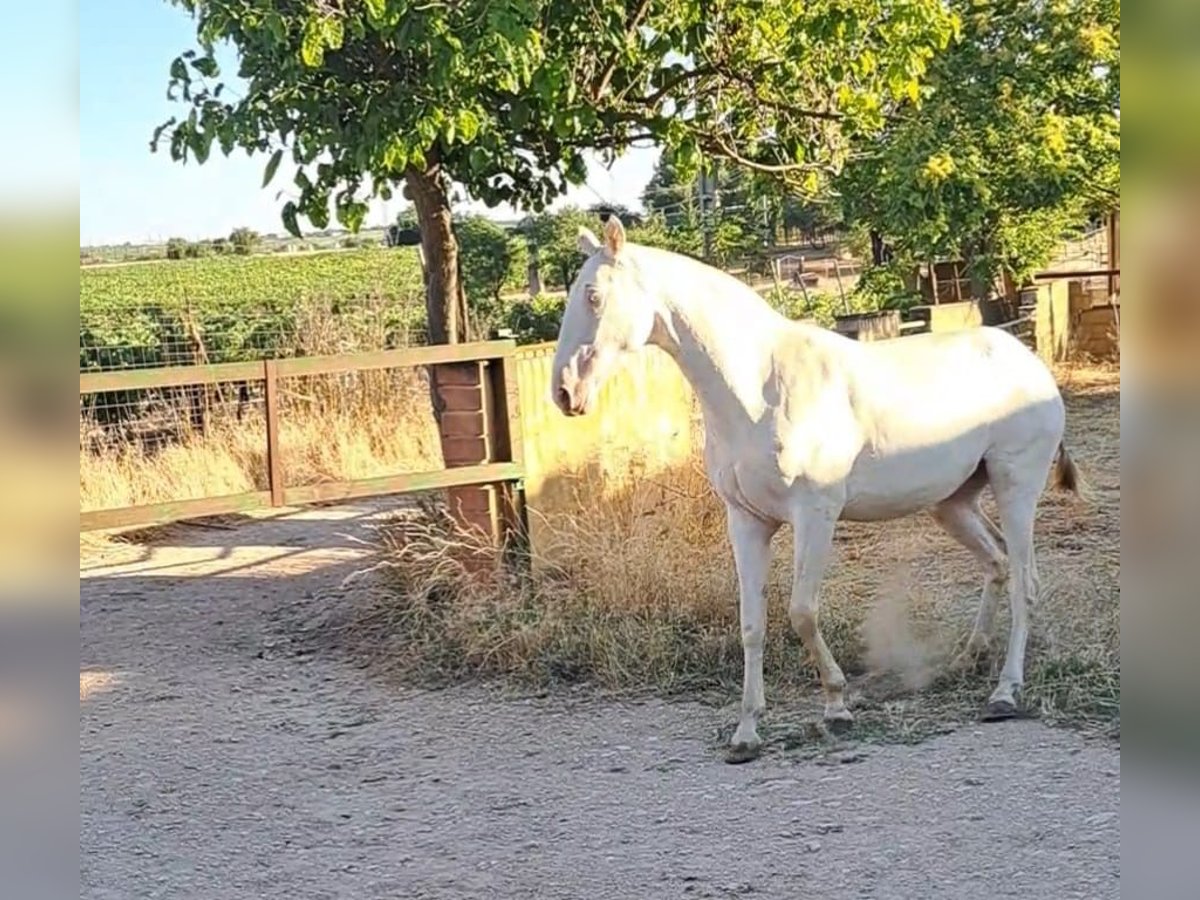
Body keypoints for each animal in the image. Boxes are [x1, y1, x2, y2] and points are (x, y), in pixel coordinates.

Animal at [549, 214, 1084, 763]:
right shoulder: (747, 522)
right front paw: (746, 733)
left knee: (1024, 581)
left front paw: (836, 707)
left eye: (593, 295)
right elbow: (752, 624)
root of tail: (1030, 363)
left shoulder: (815, 515)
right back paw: (968, 659)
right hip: (952, 504)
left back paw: (1005, 691)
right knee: (997, 562)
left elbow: (802, 612)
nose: (565, 393)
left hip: (1016, 488)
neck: (762, 388)